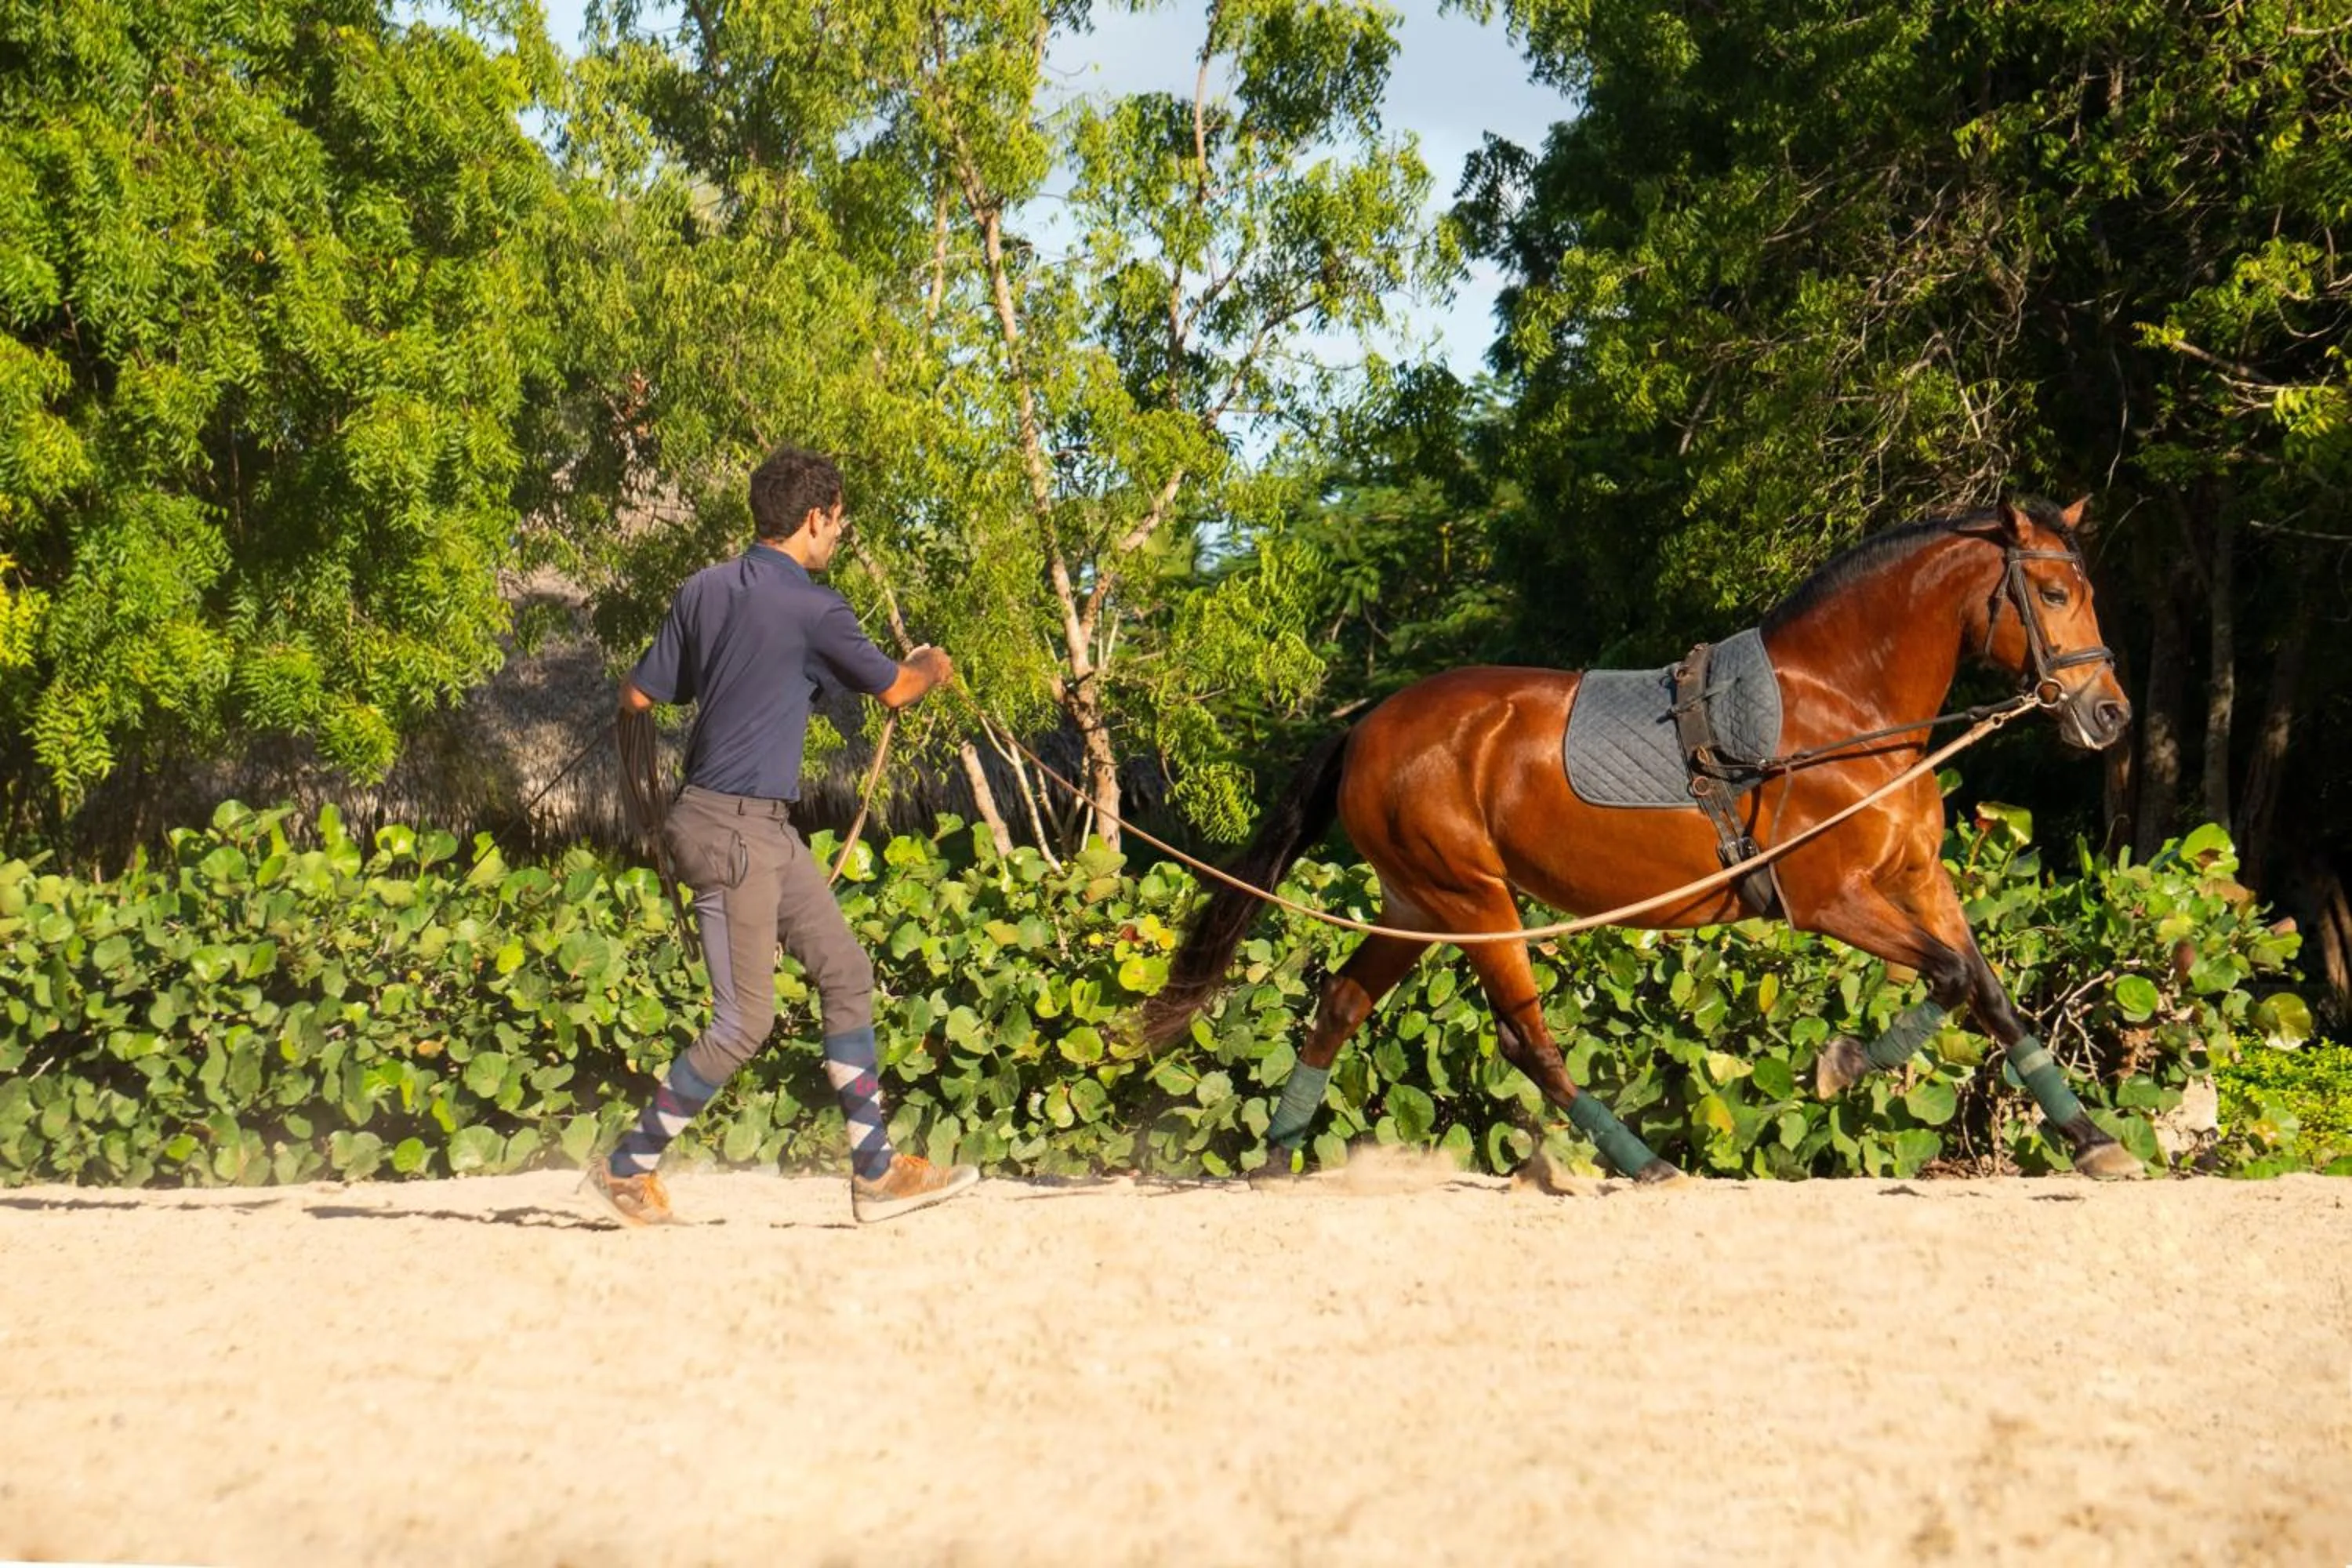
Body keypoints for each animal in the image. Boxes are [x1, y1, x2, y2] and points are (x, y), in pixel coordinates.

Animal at [1138, 497, 2141, 1182]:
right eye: (2053, 591)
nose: (2110, 715)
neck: (1844, 711)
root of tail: (1367, 728)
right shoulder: (1830, 900)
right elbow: (1950, 975)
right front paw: (1839, 1062)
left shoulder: (1920, 878)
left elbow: (1990, 993)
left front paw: (2095, 1140)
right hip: (1477, 902)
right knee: (1524, 1039)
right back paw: (1643, 1161)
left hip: (1418, 904)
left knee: (1343, 1003)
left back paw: (1278, 1154)